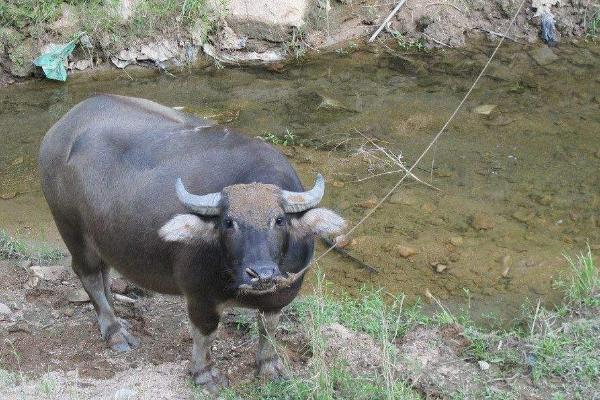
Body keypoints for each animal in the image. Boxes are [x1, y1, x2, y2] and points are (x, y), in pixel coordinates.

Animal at [37, 94, 344, 394]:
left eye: (279, 220)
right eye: (228, 222)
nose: (262, 274)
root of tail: (60, 130)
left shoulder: (278, 298)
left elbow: (268, 329)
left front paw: (270, 368)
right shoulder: (200, 296)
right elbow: (205, 334)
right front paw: (205, 374)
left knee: (104, 271)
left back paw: (115, 316)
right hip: (72, 230)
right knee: (88, 273)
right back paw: (115, 332)